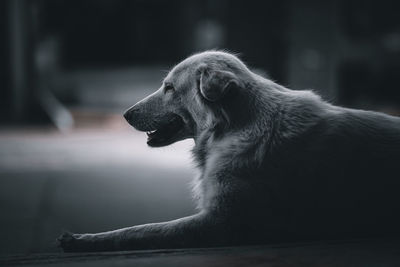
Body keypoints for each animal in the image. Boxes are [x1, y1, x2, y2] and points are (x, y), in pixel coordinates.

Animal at [58, 50, 400, 253]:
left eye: (169, 88)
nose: (125, 115)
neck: (235, 126)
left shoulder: (220, 222)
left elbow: (139, 230)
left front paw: (83, 240)